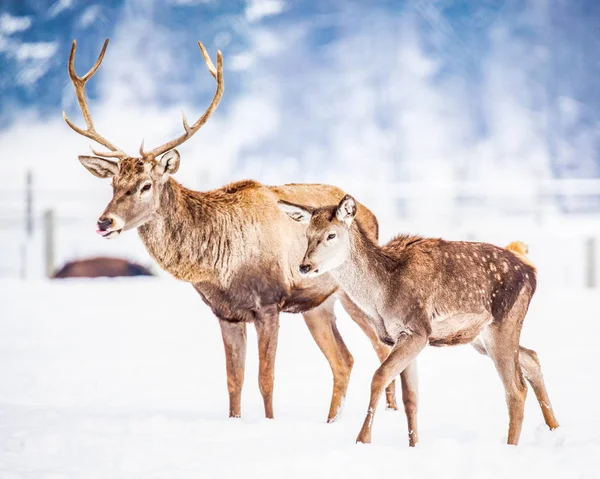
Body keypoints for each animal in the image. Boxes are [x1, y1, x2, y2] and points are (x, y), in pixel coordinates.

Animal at [62, 40, 404, 424]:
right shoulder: (225, 312)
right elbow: (233, 381)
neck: (218, 265)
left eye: (145, 185)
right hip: (318, 304)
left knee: (379, 348)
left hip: (353, 295)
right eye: (114, 184)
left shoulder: (269, 303)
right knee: (344, 360)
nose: (105, 222)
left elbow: (265, 380)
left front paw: (269, 423)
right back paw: (331, 421)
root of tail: (370, 214)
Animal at [278, 194, 560, 446]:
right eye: (307, 234)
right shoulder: (399, 336)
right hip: (480, 338)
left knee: (515, 388)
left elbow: (379, 376)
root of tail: (531, 271)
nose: (304, 266)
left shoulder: (417, 330)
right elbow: (410, 397)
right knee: (531, 357)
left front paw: (362, 439)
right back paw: (554, 430)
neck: (381, 295)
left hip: (503, 322)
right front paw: (413, 445)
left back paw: (511, 446)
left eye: (331, 235)